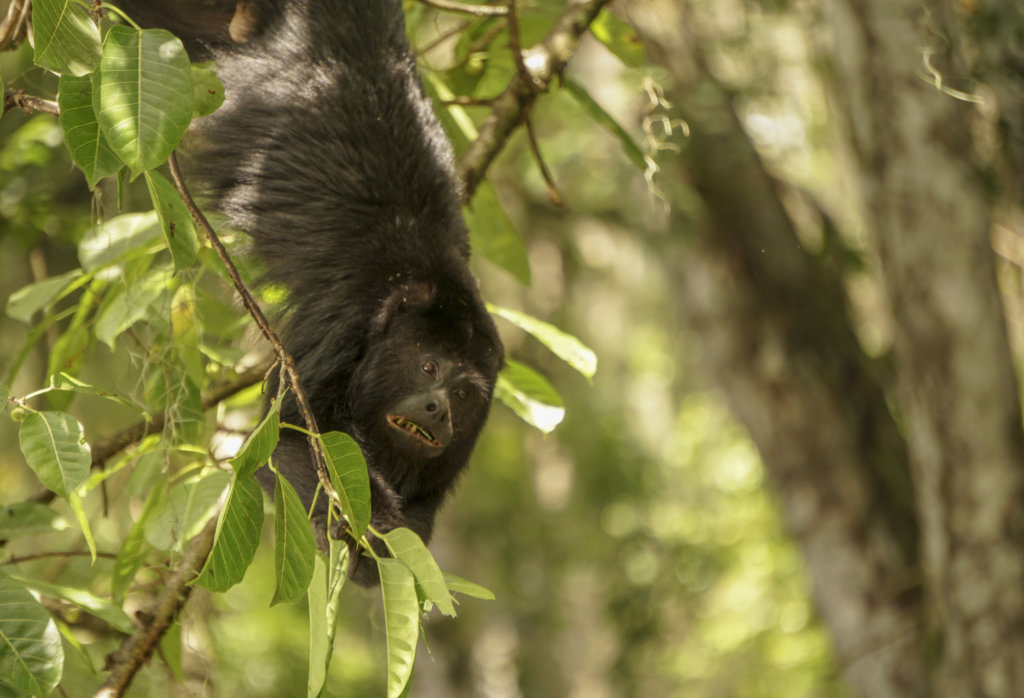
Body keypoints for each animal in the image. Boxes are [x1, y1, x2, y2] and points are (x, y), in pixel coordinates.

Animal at [116, 0, 503, 585]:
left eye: (464, 395)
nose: (438, 409)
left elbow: (421, 517)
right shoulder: (344, 327)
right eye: (429, 367)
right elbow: (291, 434)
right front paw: (369, 528)